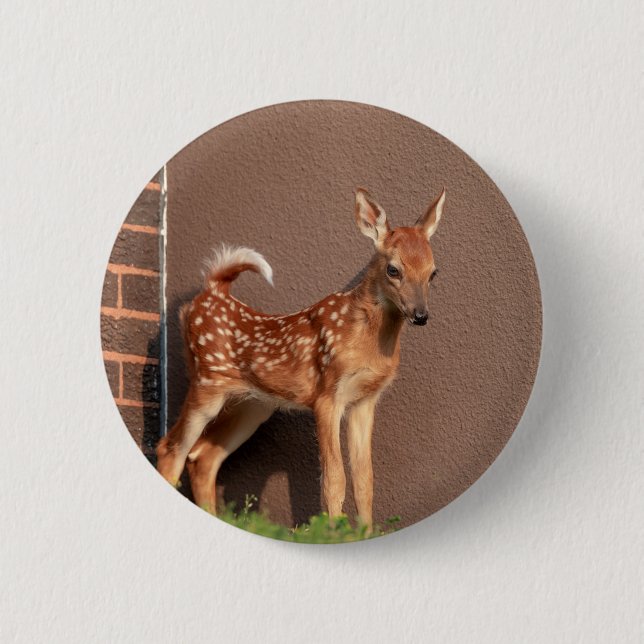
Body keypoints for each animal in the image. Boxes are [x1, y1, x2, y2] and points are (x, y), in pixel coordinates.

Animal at [156, 187, 445, 531]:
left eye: (433, 272)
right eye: (393, 269)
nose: (421, 315)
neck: (367, 341)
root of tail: (211, 291)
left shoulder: (365, 400)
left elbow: (365, 480)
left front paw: (363, 534)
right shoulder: (327, 395)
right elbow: (334, 479)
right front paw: (333, 534)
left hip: (253, 404)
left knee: (203, 455)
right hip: (207, 382)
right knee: (171, 447)